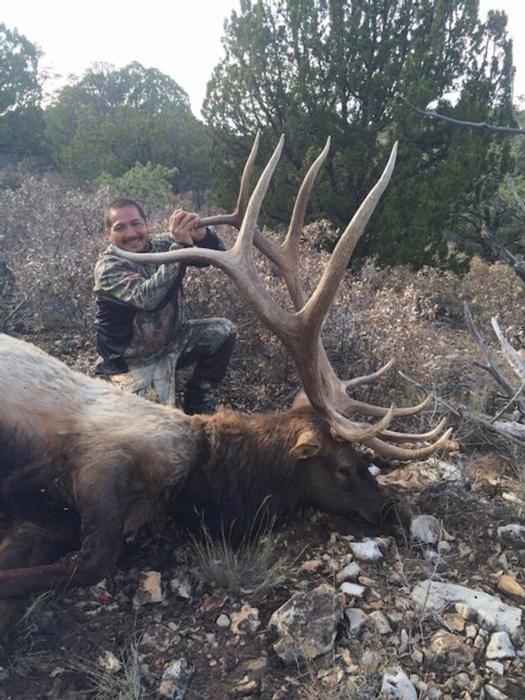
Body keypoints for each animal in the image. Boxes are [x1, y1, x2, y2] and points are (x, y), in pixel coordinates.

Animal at [0, 134, 450, 619]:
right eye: (345, 466)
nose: (389, 507)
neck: (205, 482)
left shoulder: (51, 517)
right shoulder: (102, 464)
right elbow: (91, 562)